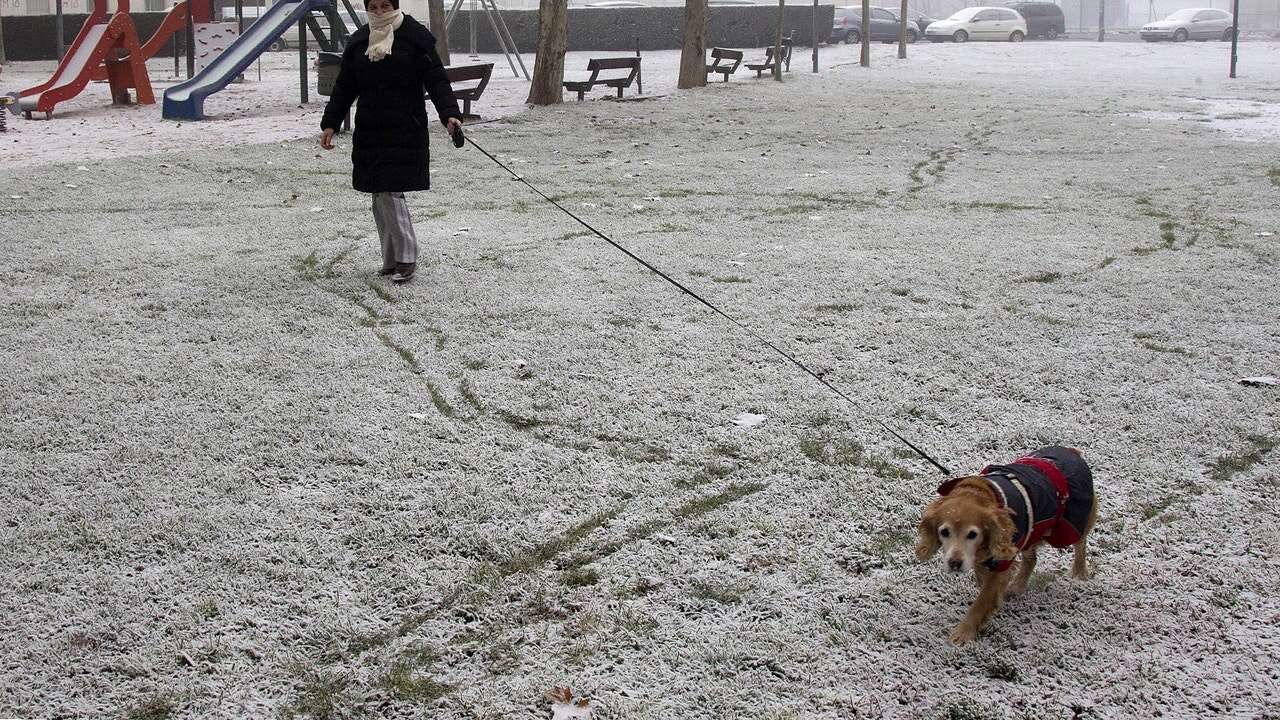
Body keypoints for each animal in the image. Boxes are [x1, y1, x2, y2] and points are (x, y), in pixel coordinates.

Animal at [916, 445, 1095, 640]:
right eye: (944, 532)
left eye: (972, 534)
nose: (955, 563)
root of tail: (1071, 451)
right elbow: (983, 580)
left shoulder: (1001, 562)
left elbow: (983, 600)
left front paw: (963, 633)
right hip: (1031, 530)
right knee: (1032, 559)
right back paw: (1017, 586)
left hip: (1068, 527)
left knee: (1081, 541)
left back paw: (1080, 572)